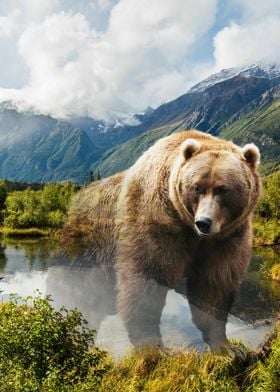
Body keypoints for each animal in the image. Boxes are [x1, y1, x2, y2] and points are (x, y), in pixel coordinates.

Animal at [63, 130, 260, 354]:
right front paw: (154, 348)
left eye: (223, 189)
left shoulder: (227, 239)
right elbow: (146, 279)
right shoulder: (155, 220)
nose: (204, 222)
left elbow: (214, 285)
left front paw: (228, 348)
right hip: (87, 249)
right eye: (197, 187)